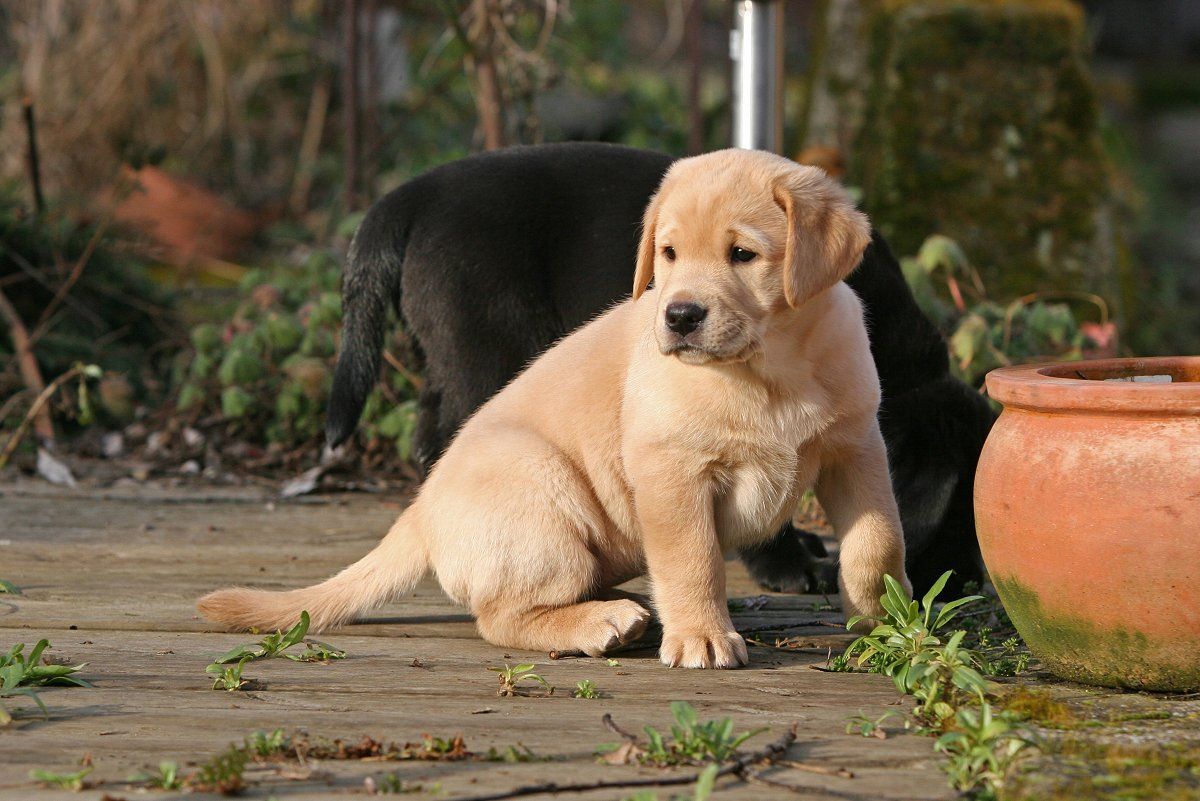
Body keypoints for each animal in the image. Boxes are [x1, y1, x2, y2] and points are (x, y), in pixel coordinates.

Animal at [199, 146, 907, 666]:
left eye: (743, 254)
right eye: (669, 253)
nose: (678, 316)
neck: (769, 370)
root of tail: (420, 514)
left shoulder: (857, 450)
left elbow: (878, 541)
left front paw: (887, 621)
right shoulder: (672, 474)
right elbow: (693, 560)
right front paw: (703, 636)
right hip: (541, 492)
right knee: (501, 615)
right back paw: (604, 621)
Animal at [328, 140, 993, 597]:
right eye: (957, 518)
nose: (963, 589)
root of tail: (409, 195)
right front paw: (789, 564)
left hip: (439, 357)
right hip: (486, 352)